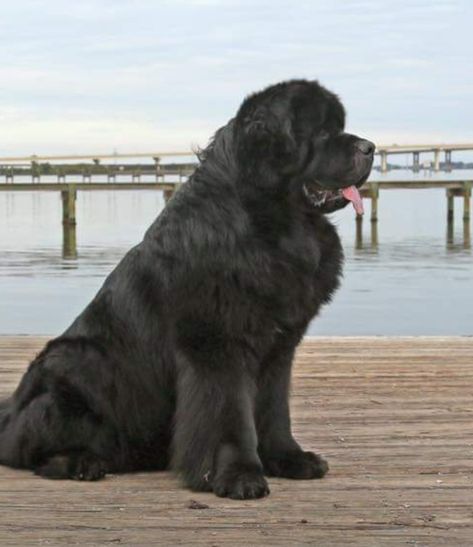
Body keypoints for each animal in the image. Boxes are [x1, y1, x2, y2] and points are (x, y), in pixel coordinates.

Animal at [1, 79, 374, 498]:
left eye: (340, 127)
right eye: (323, 133)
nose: (370, 147)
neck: (275, 222)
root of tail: (8, 412)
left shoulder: (279, 349)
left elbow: (275, 409)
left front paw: (291, 459)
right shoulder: (216, 345)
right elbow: (229, 414)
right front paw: (238, 476)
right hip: (76, 363)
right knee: (25, 449)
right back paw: (82, 463)